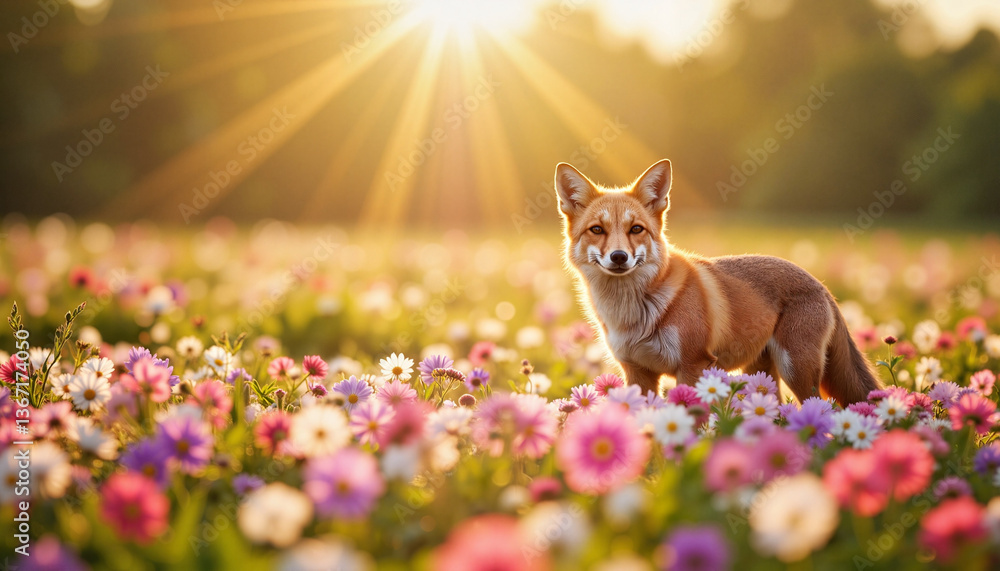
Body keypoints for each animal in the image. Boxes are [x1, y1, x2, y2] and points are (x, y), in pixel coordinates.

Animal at [554, 158, 880, 404]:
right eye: (597, 229)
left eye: (636, 229)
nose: (619, 257)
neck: (633, 315)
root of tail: (823, 286)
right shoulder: (638, 373)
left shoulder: (694, 364)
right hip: (760, 375)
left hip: (796, 370)